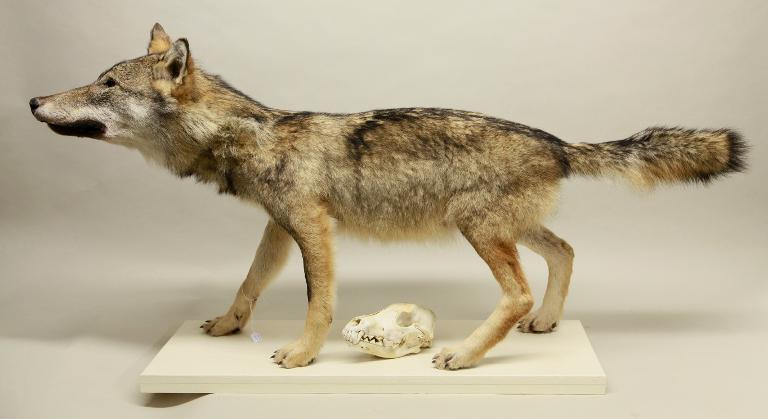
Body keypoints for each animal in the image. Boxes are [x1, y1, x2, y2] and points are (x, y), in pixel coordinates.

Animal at [30, 24, 746, 369]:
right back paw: (546, 322)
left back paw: (463, 355)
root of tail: (559, 143)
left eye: (105, 84)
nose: (33, 100)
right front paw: (230, 325)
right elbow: (248, 283)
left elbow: (319, 304)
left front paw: (301, 356)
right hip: (505, 228)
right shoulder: (278, 227)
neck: (251, 134)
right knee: (566, 251)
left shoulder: (312, 229)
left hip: (479, 230)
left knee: (518, 291)